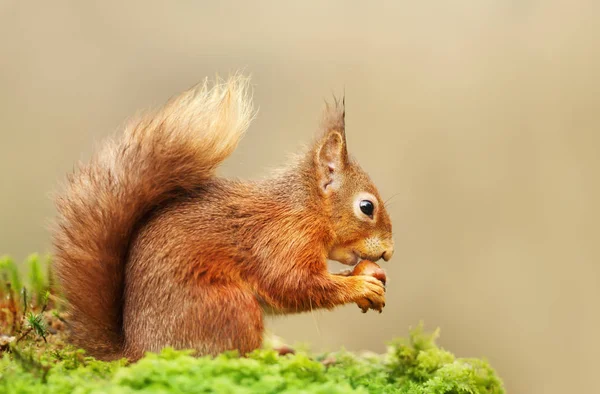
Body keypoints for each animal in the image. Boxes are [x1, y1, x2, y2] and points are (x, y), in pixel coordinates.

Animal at [52, 75, 394, 362]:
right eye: (367, 207)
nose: (389, 252)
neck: (307, 209)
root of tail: (137, 351)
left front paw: (364, 276)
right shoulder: (282, 240)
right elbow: (294, 284)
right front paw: (362, 286)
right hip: (229, 306)